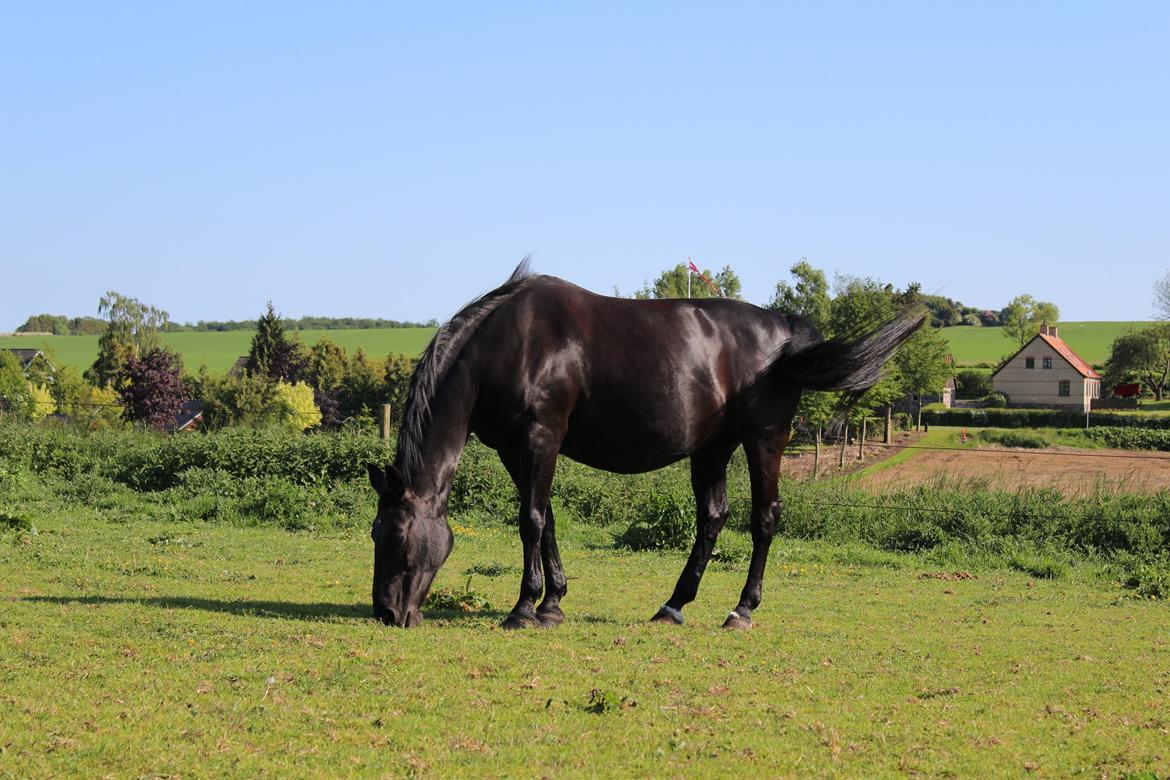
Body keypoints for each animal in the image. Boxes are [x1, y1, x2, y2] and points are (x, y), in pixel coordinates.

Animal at [369, 265, 917, 631]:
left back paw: (741, 610)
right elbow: (545, 518)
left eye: (394, 535)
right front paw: (553, 603)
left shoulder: (540, 437)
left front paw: (525, 608)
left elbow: (531, 520)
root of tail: (785, 331)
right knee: (713, 517)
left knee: (764, 518)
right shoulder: (514, 448)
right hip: (712, 448)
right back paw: (673, 605)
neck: (511, 343)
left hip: (764, 440)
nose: (387, 612)